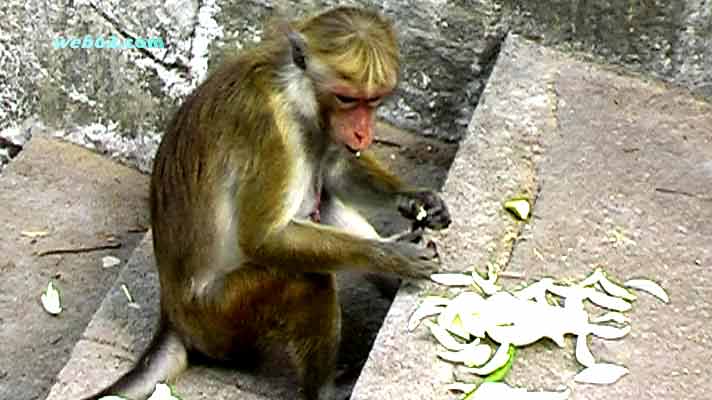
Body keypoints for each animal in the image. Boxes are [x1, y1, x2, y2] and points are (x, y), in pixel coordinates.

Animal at [83, 7, 450, 400]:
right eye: (347, 99)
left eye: (373, 100)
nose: (362, 132)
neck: (296, 93)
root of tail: (173, 316)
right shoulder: (270, 130)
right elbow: (264, 239)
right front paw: (393, 256)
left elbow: (335, 171)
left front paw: (417, 199)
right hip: (220, 318)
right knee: (305, 277)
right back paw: (324, 390)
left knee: (323, 201)